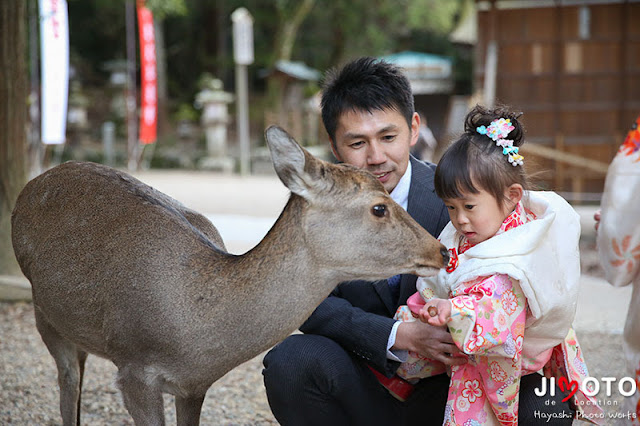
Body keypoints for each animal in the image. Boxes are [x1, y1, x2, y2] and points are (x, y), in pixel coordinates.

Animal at [11, 125, 450, 424]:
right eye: (379, 207)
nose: (441, 249)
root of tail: (30, 187)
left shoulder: (193, 386)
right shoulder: (134, 369)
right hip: (44, 309)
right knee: (68, 384)